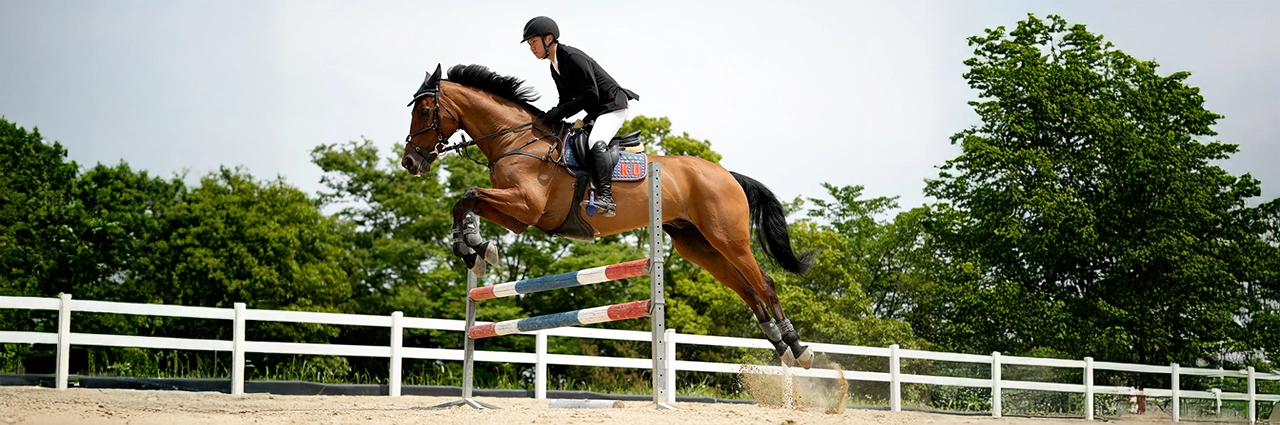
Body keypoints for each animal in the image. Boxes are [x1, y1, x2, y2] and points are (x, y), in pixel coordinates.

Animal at [401, 64, 818, 369]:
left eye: (425, 110)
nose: (410, 162)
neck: (516, 139)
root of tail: (727, 173)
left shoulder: (525, 204)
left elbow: (468, 196)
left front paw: (473, 246)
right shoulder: (519, 216)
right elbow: (465, 203)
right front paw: (474, 247)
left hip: (728, 237)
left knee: (764, 284)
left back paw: (799, 348)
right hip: (696, 244)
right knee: (746, 289)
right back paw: (781, 346)